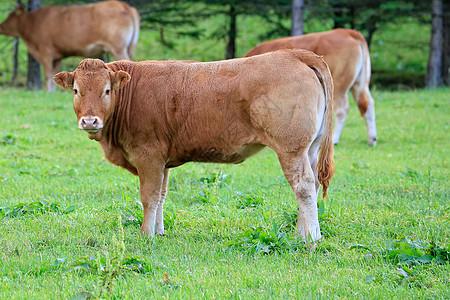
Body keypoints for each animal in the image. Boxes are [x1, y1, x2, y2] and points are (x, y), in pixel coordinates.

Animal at [0, 0, 140, 91]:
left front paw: (47, 92)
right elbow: (53, 74)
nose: (1, 25)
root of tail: (124, 5)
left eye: (9, 16)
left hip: (118, 48)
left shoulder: (45, 52)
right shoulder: (56, 56)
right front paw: (52, 92)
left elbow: (48, 74)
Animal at [52, 49, 334, 241]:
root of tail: (294, 53)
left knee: (303, 187)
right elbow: (161, 195)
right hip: (309, 149)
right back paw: (300, 233)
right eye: (76, 90)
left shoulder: (148, 155)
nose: (90, 120)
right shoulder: (162, 160)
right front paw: (159, 231)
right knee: (312, 184)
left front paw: (146, 234)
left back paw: (311, 238)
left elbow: (148, 196)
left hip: (291, 148)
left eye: (107, 90)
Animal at [244, 28, 378, 146]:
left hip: (339, 82)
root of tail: (347, 32)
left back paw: (335, 139)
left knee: (342, 109)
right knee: (368, 103)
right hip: (360, 83)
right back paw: (372, 139)